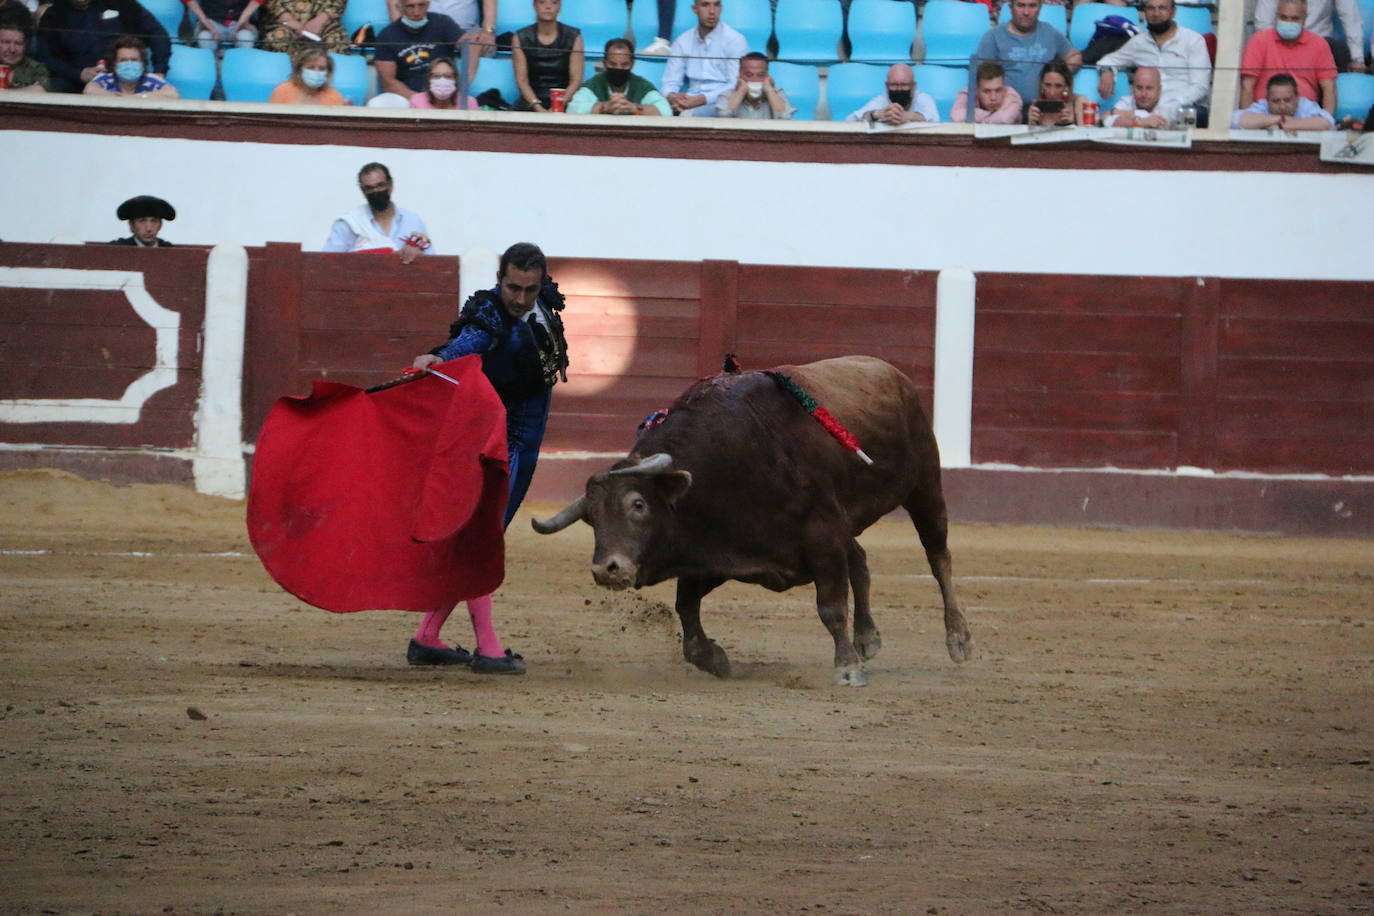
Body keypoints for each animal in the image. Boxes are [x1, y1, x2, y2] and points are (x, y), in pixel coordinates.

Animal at [530, 354, 972, 683]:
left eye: (638, 504)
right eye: (590, 518)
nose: (607, 569)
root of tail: (892, 372)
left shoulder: (823, 534)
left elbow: (830, 604)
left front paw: (847, 668)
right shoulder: (719, 553)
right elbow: (686, 607)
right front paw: (714, 658)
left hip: (925, 484)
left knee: (939, 557)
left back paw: (959, 639)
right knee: (862, 562)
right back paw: (868, 638)